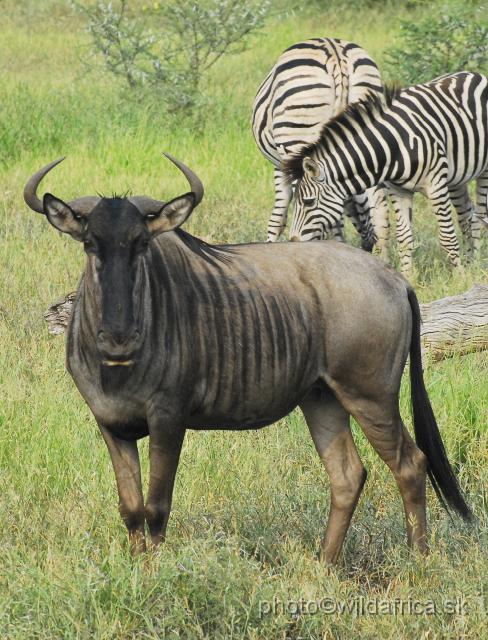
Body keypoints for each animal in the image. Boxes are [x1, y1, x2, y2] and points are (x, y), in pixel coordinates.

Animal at [254, 36, 386, 249]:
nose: (367, 244)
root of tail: (336, 55)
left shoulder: (282, 164)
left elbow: (278, 215)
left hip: (298, 136)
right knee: (380, 204)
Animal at [286, 72, 488, 272]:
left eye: (308, 202)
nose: (293, 242)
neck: (393, 146)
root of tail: (474, 74)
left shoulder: (436, 185)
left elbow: (447, 237)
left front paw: (460, 275)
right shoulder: (399, 190)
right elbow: (404, 238)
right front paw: (408, 275)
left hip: (482, 172)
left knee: (478, 218)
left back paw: (476, 264)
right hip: (457, 179)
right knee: (466, 216)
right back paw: (470, 261)